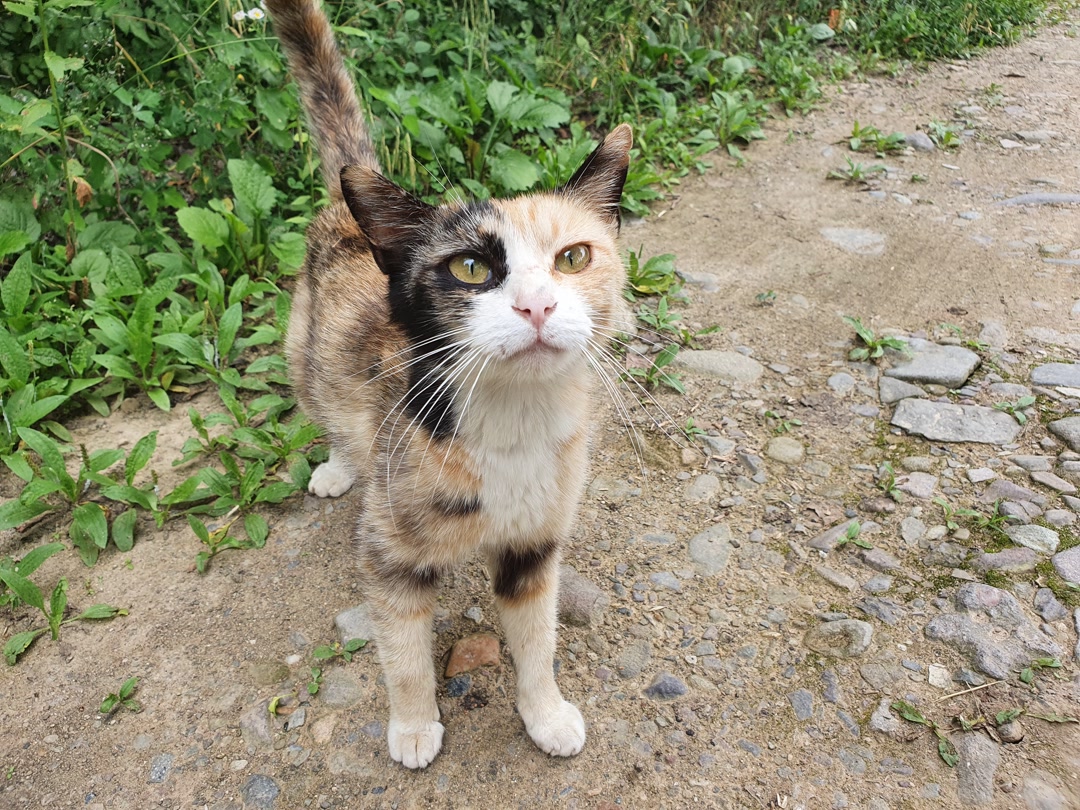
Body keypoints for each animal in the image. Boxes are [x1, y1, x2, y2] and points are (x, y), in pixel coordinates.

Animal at [265, 0, 633, 769]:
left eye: (574, 257)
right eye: (470, 268)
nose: (536, 306)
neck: (513, 426)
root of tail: (349, 199)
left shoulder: (536, 548)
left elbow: (538, 640)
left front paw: (546, 714)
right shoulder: (391, 554)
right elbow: (402, 653)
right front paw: (412, 727)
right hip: (303, 351)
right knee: (325, 405)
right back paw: (337, 466)